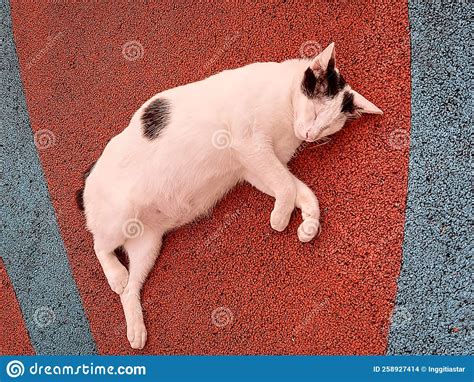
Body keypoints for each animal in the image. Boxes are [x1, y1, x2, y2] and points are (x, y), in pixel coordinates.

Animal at [77, 42, 382, 350]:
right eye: (317, 113)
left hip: (147, 244)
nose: (309, 135)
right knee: (99, 246)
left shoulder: (253, 169)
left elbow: (299, 190)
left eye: (329, 126)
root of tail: (88, 177)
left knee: (130, 290)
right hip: (120, 216)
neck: (286, 109)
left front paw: (308, 224)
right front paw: (280, 219)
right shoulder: (251, 145)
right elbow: (287, 186)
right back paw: (116, 275)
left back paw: (136, 330)